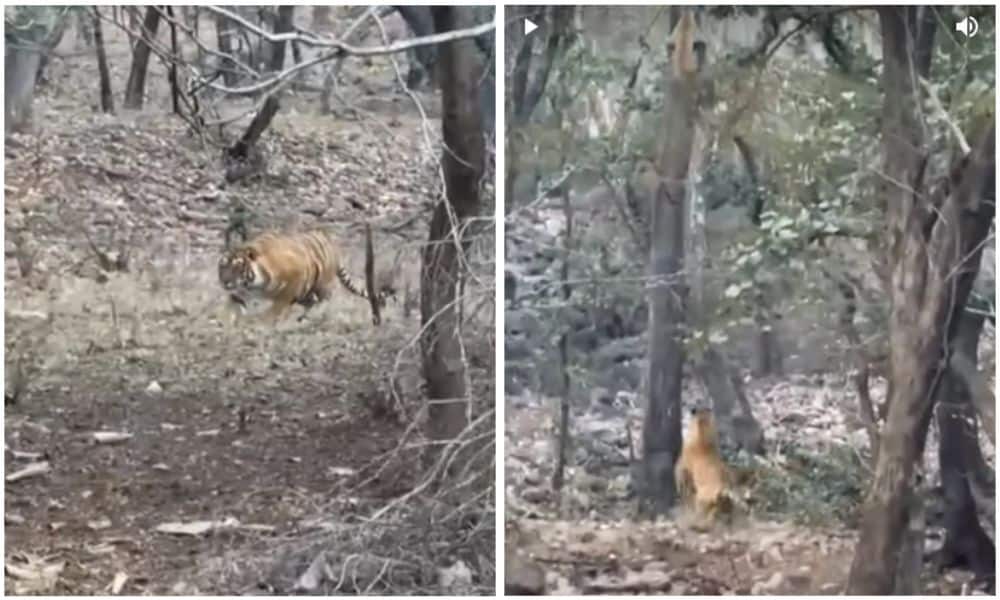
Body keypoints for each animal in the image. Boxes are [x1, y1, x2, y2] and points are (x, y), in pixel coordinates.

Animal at [217, 228, 383, 325]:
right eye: (222, 266)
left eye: (237, 267)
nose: (225, 282)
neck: (253, 284)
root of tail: (330, 240)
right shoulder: (241, 292)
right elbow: (233, 305)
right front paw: (226, 322)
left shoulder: (293, 278)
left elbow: (277, 306)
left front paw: (265, 321)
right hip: (305, 292)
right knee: (313, 301)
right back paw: (302, 318)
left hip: (319, 284)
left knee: (325, 298)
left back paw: (315, 317)